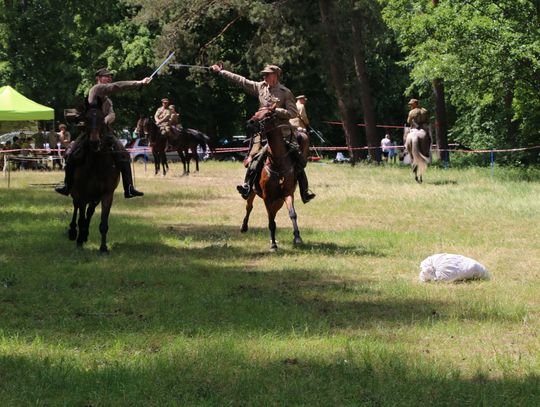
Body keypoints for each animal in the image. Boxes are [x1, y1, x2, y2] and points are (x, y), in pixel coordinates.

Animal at [68, 103, 120, 253]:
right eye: (86, 119)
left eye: (103, 120)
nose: (94, 142)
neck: (97, 165)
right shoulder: (82, 194)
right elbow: (81, 217)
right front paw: (79, 241)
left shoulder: (107, 195)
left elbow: (103, 223)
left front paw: (103, 248)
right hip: (76, 194)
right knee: (76, 208)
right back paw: (74, 232)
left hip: (95, 198)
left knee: (89, 212)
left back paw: (85, 234)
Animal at [239, 110, 302, 253]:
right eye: (258, 111)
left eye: (268, 114)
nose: (250, 122)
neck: (277, 163)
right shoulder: (267, 197)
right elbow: (271, 220)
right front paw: (273, 245)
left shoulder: (288, 194)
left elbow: (292, 214)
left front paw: (297, 238)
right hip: (252, 193)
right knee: (249, 207)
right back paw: (244, 226)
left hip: (279, 200)